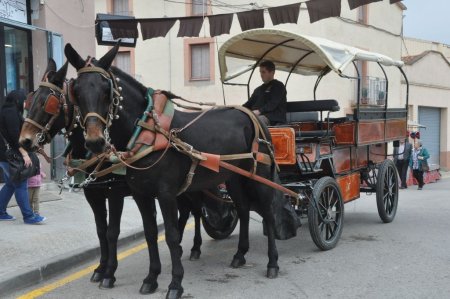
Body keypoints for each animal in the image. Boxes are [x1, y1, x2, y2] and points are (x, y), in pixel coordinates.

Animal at [19, 58, 237, 292]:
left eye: (48, 102)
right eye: (30, 100)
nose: (24, 140)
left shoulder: (115, 192)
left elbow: (112, 231)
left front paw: (109, 273)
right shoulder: (94, 194)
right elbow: (101, 230)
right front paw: (101, 268)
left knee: (195, 212)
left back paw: (195, 247)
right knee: (186, 212)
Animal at [65, 42, 298, 299]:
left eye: (107, 90)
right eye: (76, 91)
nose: (94, 141)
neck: (147, 132)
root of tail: (253, 117)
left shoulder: (165, 194)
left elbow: (172, 234)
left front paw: (175, 283)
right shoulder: (141, 195)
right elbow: (150, 233)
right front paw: (151, 278)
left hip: (260, 176)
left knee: (267, 212)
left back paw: (272, 262)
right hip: (235, 178)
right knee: (244, 209)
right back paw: (240, 254)